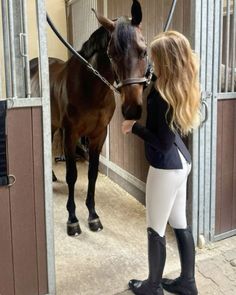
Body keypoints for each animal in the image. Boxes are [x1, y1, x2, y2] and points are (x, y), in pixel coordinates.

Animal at [29, 0, 148, 236]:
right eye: (113, 53)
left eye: (144, 51)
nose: (132, 109)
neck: (90, 89)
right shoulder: (71, 134)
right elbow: (72, 175)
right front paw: (73, 220)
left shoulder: (98, 135)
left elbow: (92, 173)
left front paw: (93, 216)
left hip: (54, 124)